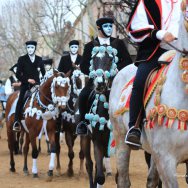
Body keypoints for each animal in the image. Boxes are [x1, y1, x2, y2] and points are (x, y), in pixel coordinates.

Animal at [81, 44, 118, 187]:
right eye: (94, 59)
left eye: (110, 59)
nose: (100, 83)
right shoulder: (97, 140)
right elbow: (100, 177)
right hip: (85, 138)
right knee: (90, 165)